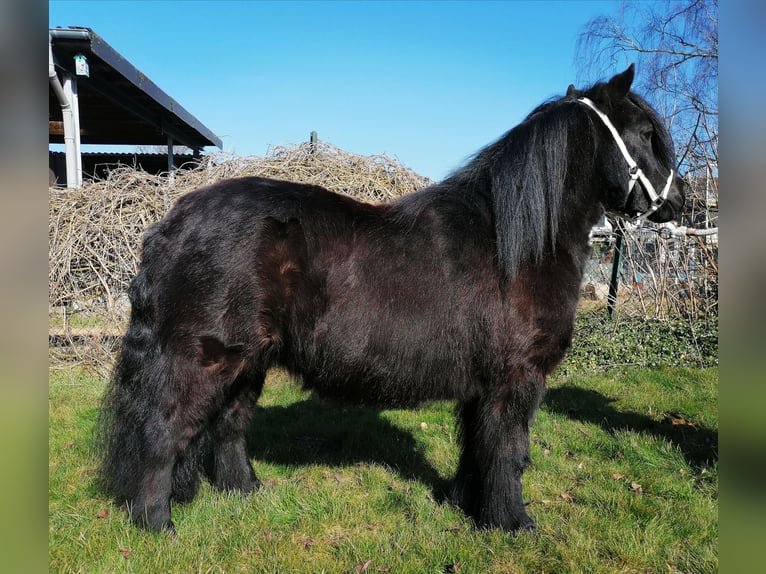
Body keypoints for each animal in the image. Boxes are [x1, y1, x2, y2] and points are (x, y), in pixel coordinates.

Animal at [96, 66, 684, 536]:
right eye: (646, 134)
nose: (679, 201)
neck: (514, 243)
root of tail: (170, 223)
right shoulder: (517, 378)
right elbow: (510, 453)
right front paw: (513, 524)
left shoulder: (483, 384)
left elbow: (477, 447)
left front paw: (465, 505)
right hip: (205, 358)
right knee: (164, 428)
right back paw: (156, 523)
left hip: (250, 362)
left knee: (228, 427)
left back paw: (247, 493)